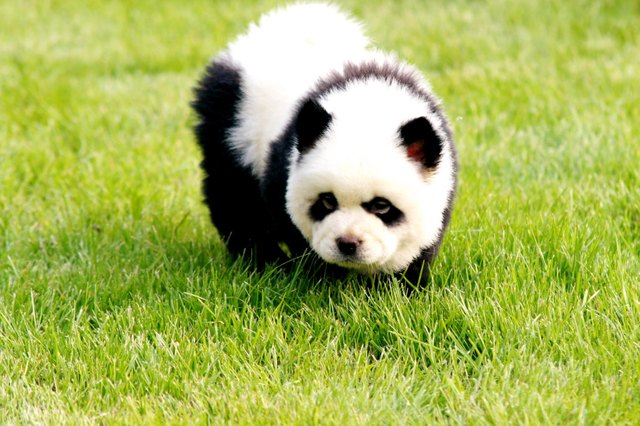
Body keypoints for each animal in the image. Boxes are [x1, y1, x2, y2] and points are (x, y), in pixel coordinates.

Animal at [191, 2, 457, 285]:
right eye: (328, 201)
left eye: (382, 206)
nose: (348, 244)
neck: (370, 106)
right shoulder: (283, 164)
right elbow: (291, 223)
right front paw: (322, 279)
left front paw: (401, 284)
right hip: (233, 125)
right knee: (234, 196)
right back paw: (261, 260)